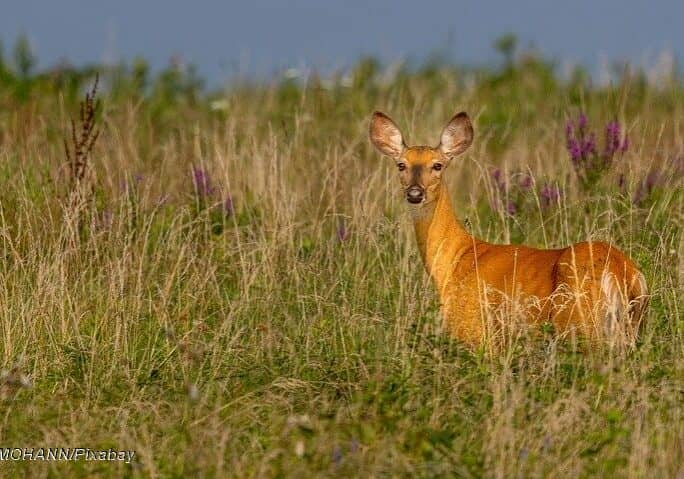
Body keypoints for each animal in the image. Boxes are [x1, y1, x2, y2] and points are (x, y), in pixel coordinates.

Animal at [369, 110, 649, 349]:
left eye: (438, 165)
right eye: (401, 165)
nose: (415, 193)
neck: (455, 261)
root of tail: (622, 272)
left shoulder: (473, 329)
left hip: (577, 323)